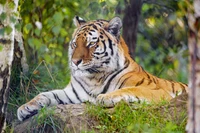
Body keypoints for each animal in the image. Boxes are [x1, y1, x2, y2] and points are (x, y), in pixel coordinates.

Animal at [16, 16, 188, 121]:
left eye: (91, 43)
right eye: (74, 44)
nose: (75, 62)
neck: (94, 77)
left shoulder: (158, 91)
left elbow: (130, 89)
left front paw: (104, 97)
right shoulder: (72, 93)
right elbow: (46, 94)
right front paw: (25, 108)